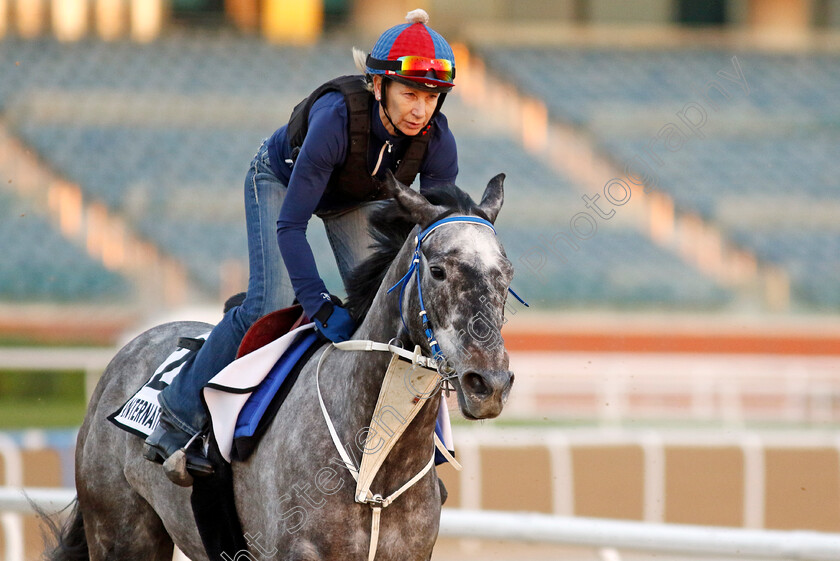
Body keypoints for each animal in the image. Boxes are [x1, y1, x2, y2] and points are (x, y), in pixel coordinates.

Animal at [49, 175, 516, 560]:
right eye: (437, 271)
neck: (374, 473)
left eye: (507, 274)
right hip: (120, 530)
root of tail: (131, 348)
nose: (489, 384)